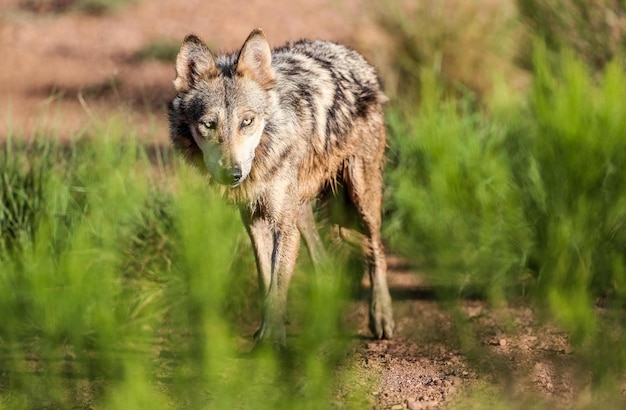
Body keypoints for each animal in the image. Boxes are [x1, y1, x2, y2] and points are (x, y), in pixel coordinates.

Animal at [168, 28, 392, 350]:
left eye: (247, 121)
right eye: (209, 124)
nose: (232, 174)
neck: (264, 153)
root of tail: (352, 54)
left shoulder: (281, 226)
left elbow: (277, 283)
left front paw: (271, 341)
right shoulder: (255, 221)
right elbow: (267, 281)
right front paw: (269, 331)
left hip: (361, 199)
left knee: (377, 251)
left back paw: (381, 316)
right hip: (301, 210)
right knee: (324, 262)